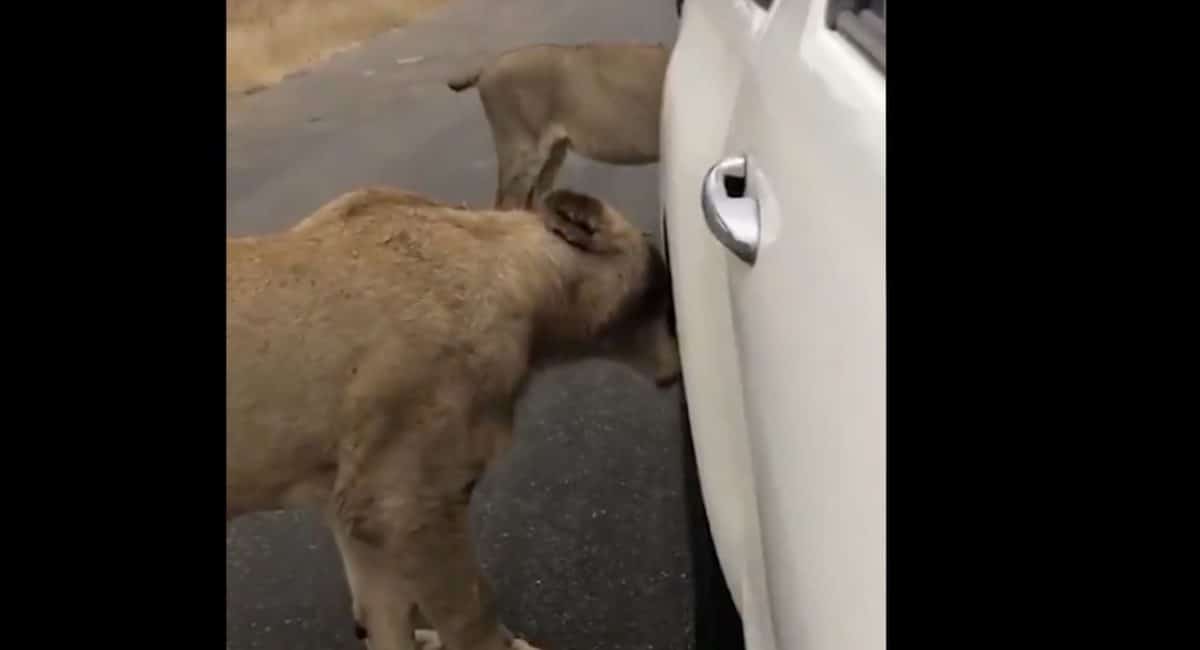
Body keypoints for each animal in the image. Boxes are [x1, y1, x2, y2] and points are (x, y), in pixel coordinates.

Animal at [227, 186, 681, 650]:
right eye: (664, 293)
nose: (680, 355)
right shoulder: (407, 499)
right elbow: (470, 611)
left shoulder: (351, 506)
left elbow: (384, 615)